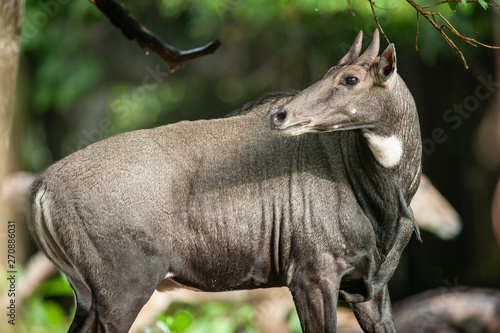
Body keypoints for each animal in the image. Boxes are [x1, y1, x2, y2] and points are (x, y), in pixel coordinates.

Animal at [28, 29, 422, 330]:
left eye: (350, 78)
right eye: (331, 72)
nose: (280, 114)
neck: (381, 198)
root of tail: (42, 186)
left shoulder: (370, 289)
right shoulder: (312, 275)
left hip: (86, 296)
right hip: (122, 292)